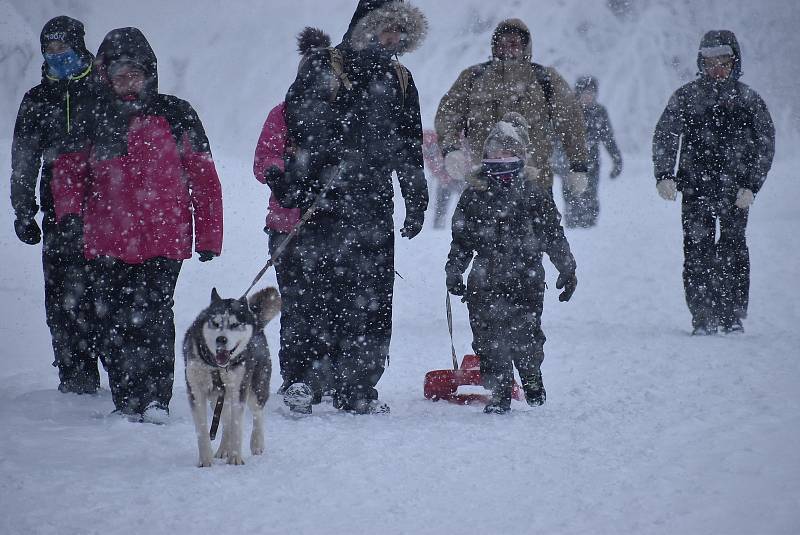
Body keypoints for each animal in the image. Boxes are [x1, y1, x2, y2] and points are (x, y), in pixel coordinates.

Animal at [184, 286, 282, 466]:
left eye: (235, 324)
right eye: (215, 323)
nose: (221, 339)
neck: (216, 367)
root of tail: (255, 319)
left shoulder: (239, 389)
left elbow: (237, 426)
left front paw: (235, 458)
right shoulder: (195, 391)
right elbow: (202, 429)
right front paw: (206, 460)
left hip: (256, 387)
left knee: (257, 413)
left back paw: (257, 443)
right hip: (217, 398)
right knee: (225, 421)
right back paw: (224, 449)